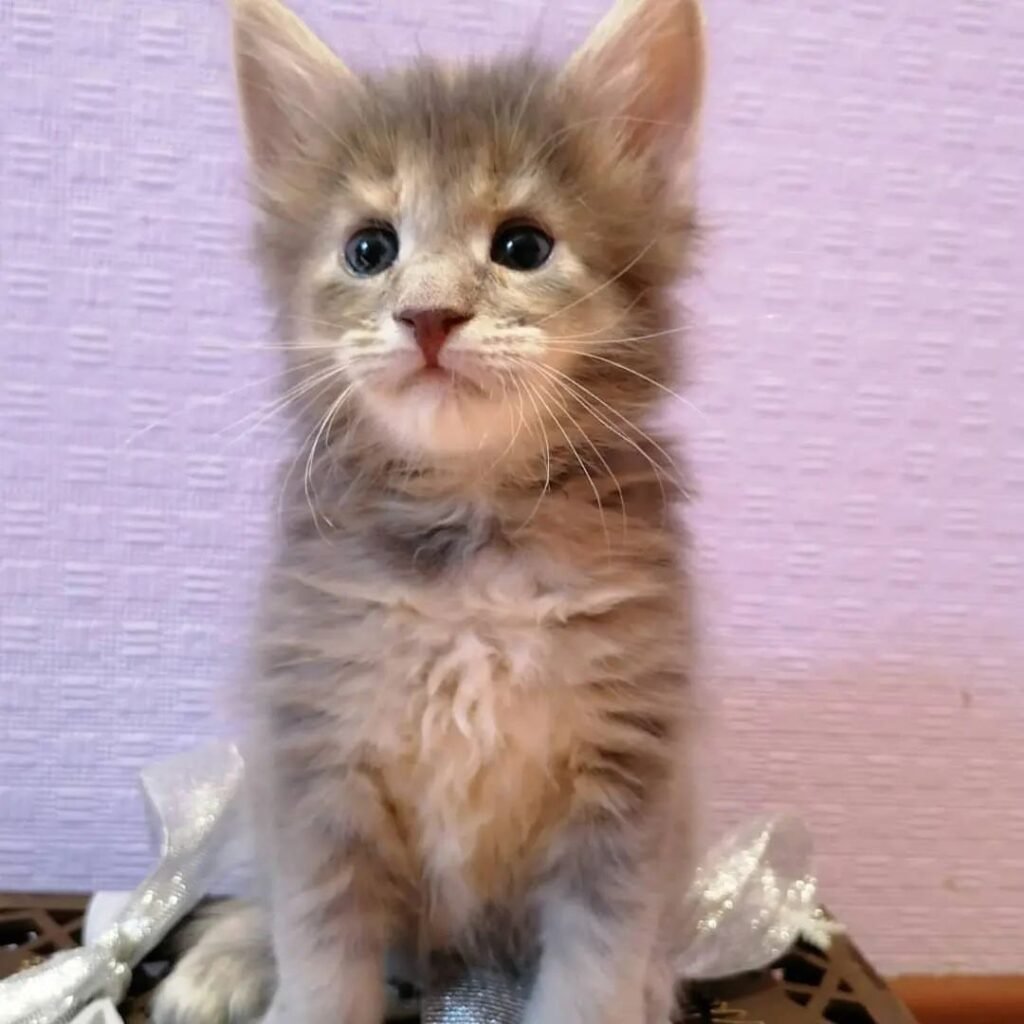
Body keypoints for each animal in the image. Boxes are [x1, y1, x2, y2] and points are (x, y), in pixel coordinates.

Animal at [155, 2, 708, 1024]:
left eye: (523, 247)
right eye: (370, 249)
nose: (429, 317)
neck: (471, 553)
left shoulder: (628, 782)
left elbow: (596, 965)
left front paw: (616, 989)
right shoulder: (313, 760)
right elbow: (319, 952)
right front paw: (281, 976)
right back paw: (229, 956)